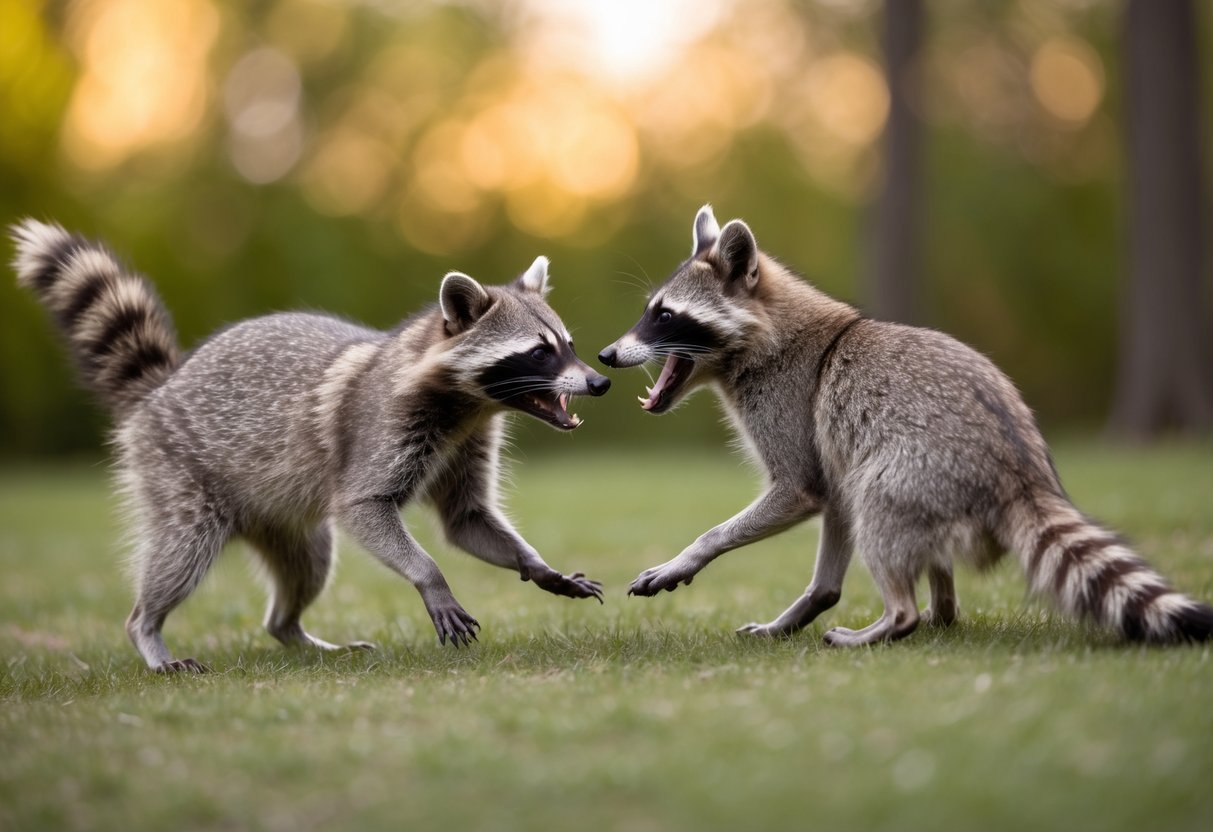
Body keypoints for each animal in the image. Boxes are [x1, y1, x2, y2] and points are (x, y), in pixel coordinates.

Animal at [11, 219, 609, 672]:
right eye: (539, 352)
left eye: (568, 344)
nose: (600, 381)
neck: (471, 403)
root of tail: (160, 387)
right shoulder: (381, 427)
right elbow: (364, 506)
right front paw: (430, 577)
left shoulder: (468, 441)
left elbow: (466, 519)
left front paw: (535, 564)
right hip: (177, 471)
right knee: (180, 552)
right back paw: (149, 630)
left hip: (281, 518)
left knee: (307, 567)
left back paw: (293, 631)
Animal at [599, 205, 1212, 646]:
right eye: (652, 310)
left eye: (666, 316)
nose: (606, 354)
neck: (760, 335)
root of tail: (1020, 474)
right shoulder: (830, 447)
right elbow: (834, 502)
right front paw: (808, 602)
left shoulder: (789, 406)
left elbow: (801, 488)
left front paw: (694, 552)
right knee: (888, 523)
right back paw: (938, 609)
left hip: (919, 470)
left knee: (877, 509)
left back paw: (899, 618)